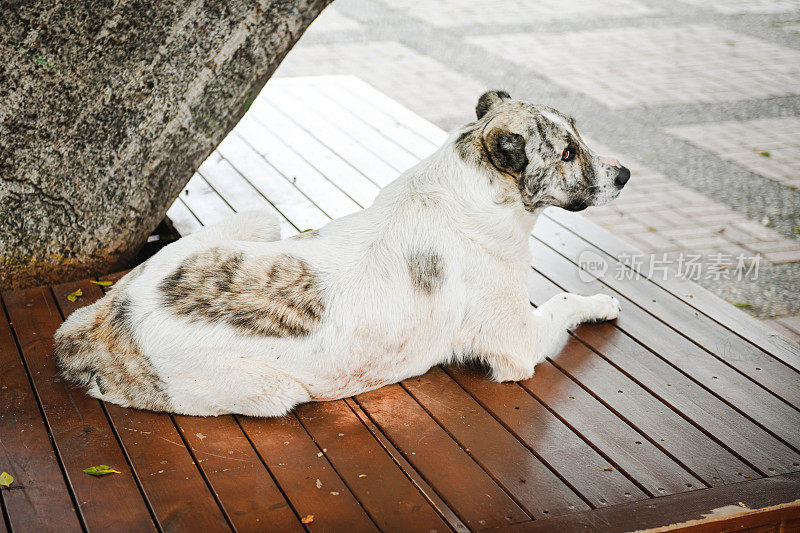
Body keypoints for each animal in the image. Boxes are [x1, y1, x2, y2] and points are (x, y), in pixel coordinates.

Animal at [54, 90, 632, 416]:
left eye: (579, 138)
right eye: (568, 153)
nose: (626, 174)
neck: (473, 190)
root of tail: (105, 320)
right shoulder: (517, 346)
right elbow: (564, 302)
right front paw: (602, 302)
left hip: (258, 222)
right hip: (272, 393)